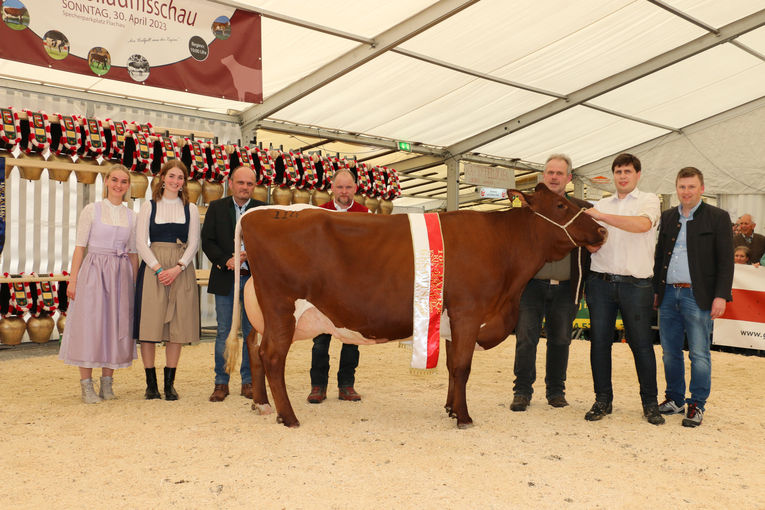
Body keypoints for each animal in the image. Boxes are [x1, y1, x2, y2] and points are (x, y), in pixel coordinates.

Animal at [224, 183, 604, 426]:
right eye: (561, 206)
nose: (602, 231)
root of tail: (262, 211)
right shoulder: (469, 312)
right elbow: (462, 367)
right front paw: (464, 417)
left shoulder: (449, 320)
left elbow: (451, 366)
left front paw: (451, 409)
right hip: (282, 308)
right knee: (272, 357)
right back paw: (288, 417)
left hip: (263, 312)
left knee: (254, 349)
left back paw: (261, 405)